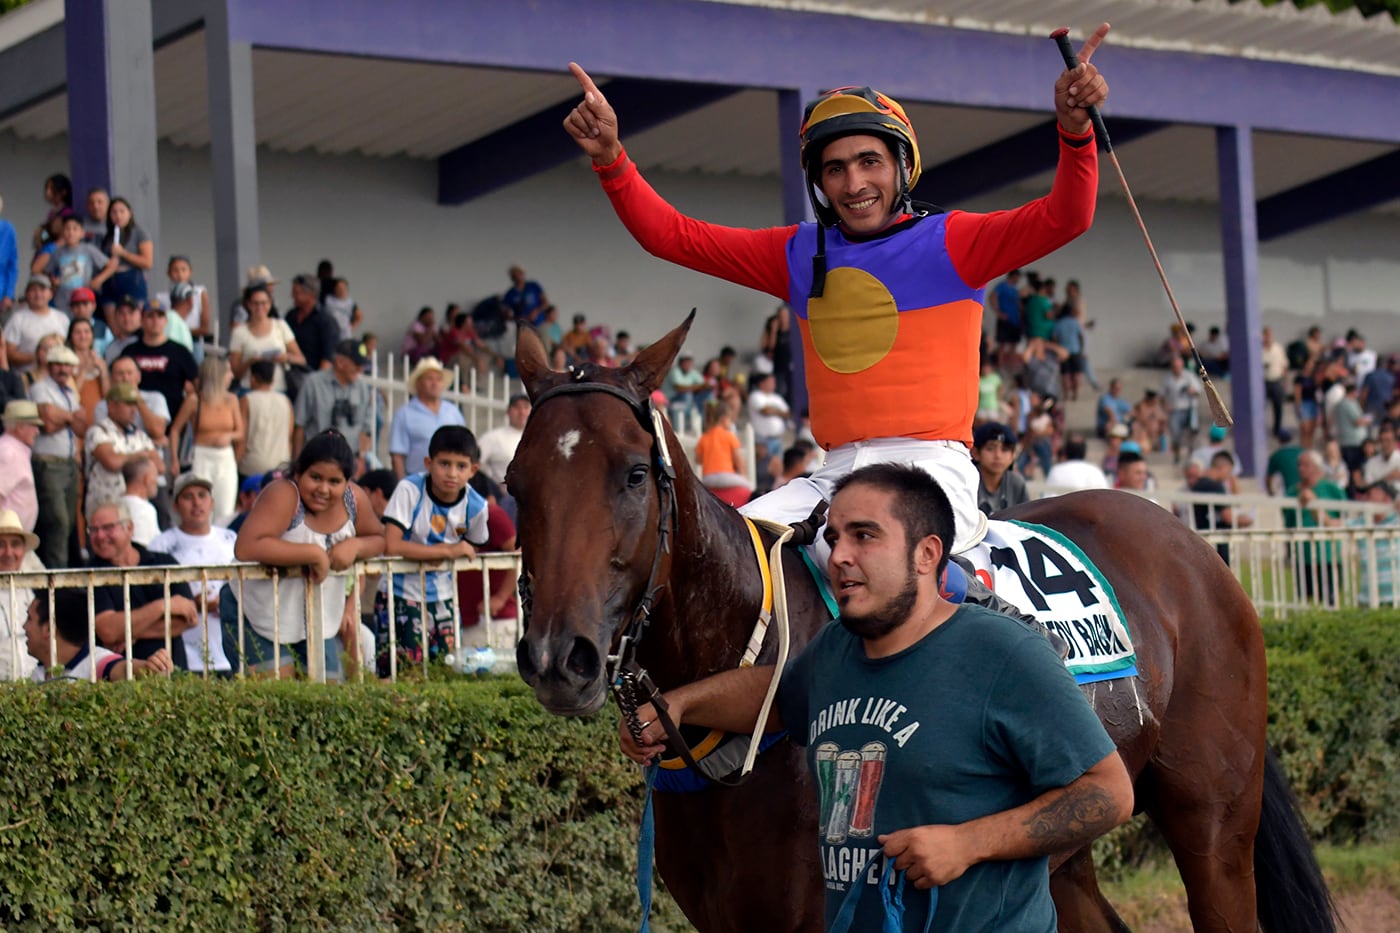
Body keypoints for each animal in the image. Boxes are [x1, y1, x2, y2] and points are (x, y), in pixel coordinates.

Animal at [509, 313, 1338, 930]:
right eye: (517, 484)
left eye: (634, 473)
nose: (557, 657)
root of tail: (1190, 542)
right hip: (1060, 836)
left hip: (1214, 819)